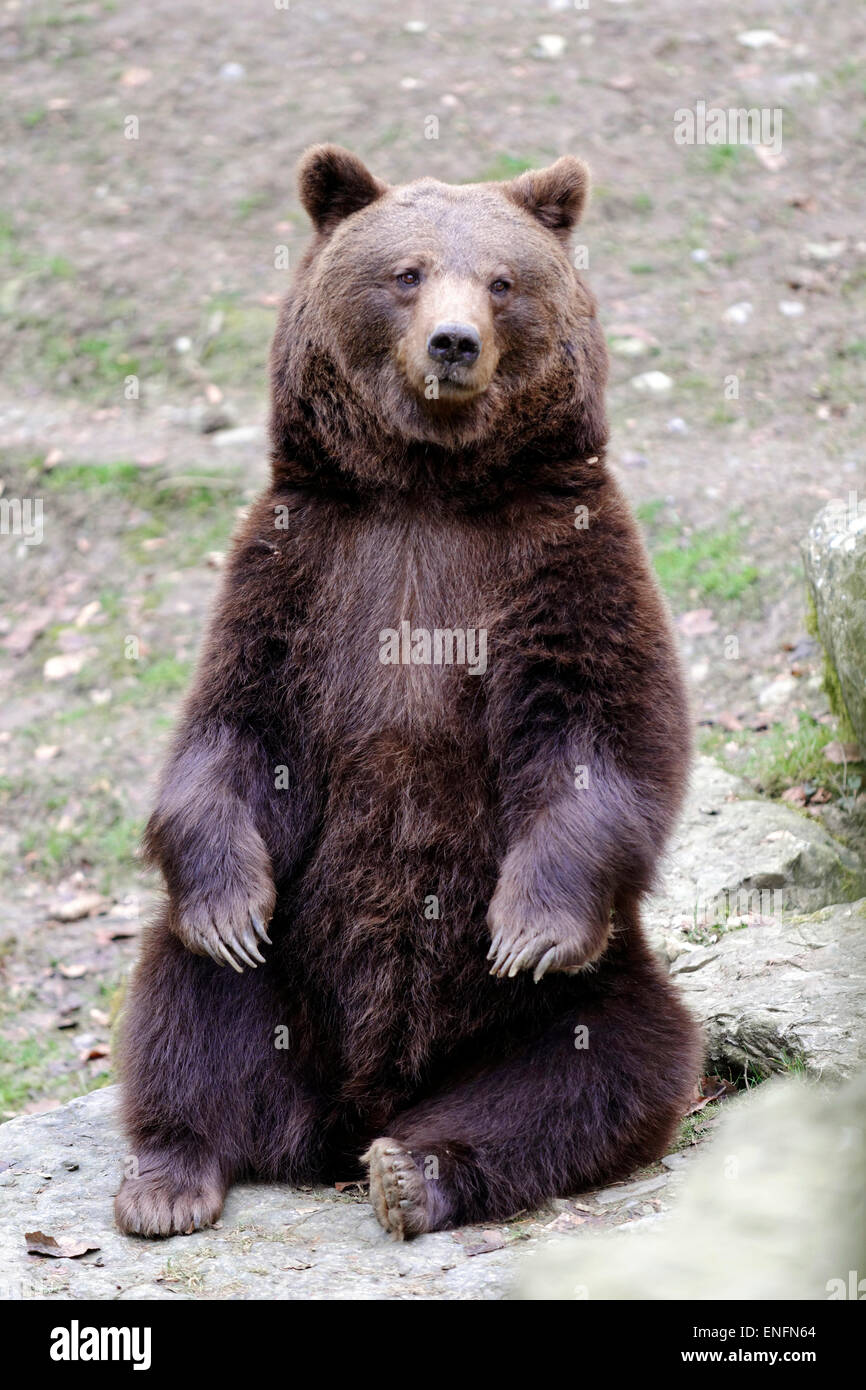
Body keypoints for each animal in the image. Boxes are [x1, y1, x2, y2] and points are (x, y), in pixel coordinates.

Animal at [115, 143, 700, 1239]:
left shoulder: (563, 556)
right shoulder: (300, 567)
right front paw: (229, 908)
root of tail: (354, 1107)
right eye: (406, 272)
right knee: (189, 997)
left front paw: (524, 929)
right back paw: (168, 1175)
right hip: (286, 977)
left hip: (580, 993)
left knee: (608, 1064)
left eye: (503, 281)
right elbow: (232, 730)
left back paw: (414, 1170)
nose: (453, 341)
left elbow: (599, 734)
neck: (428, 487)